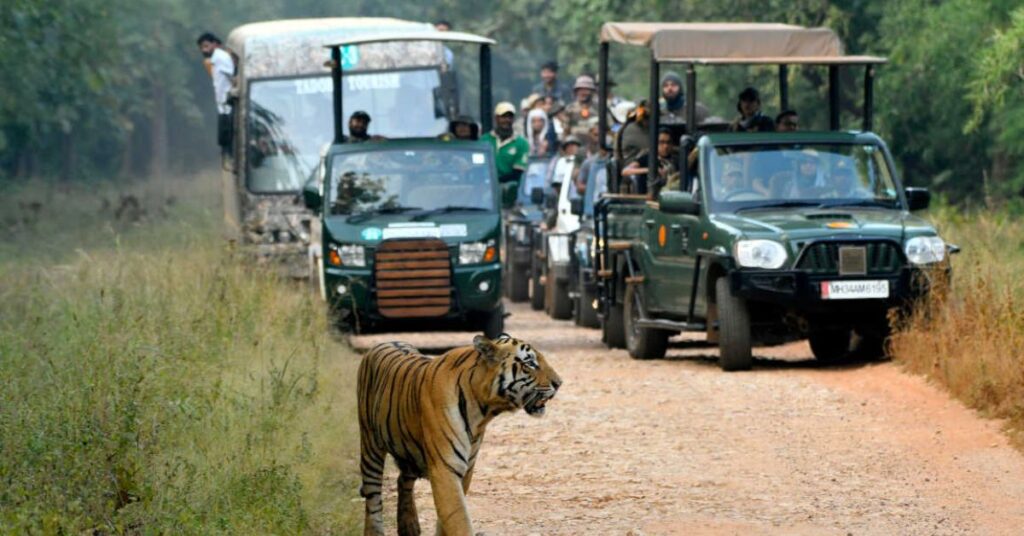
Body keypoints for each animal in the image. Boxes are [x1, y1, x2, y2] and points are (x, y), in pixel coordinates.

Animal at [358, 334, 565, 532]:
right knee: (373, 502)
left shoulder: (466, 469)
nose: (559, 383)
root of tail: (383, 343)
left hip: (409, 451)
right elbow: (458, 519)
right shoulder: (446, 468)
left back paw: (410, 527)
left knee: (403, 480)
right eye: (530, 363)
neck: (483, 411)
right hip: (370, 447)